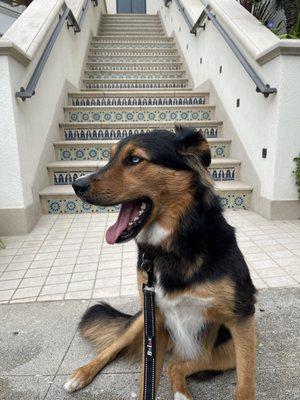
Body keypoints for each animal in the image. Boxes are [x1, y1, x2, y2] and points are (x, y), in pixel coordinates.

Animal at [64, 127, 256, 400]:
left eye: (134, 159)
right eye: (110, 157)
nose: (76, 185)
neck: (171, 248)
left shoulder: (241, 319)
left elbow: (245, 383)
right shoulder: (154, 319)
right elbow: (147, 381)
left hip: (231, 346)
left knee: (177, 364)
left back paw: (182, 393)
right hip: (142, 321)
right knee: (114, 347)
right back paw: (81, 374)